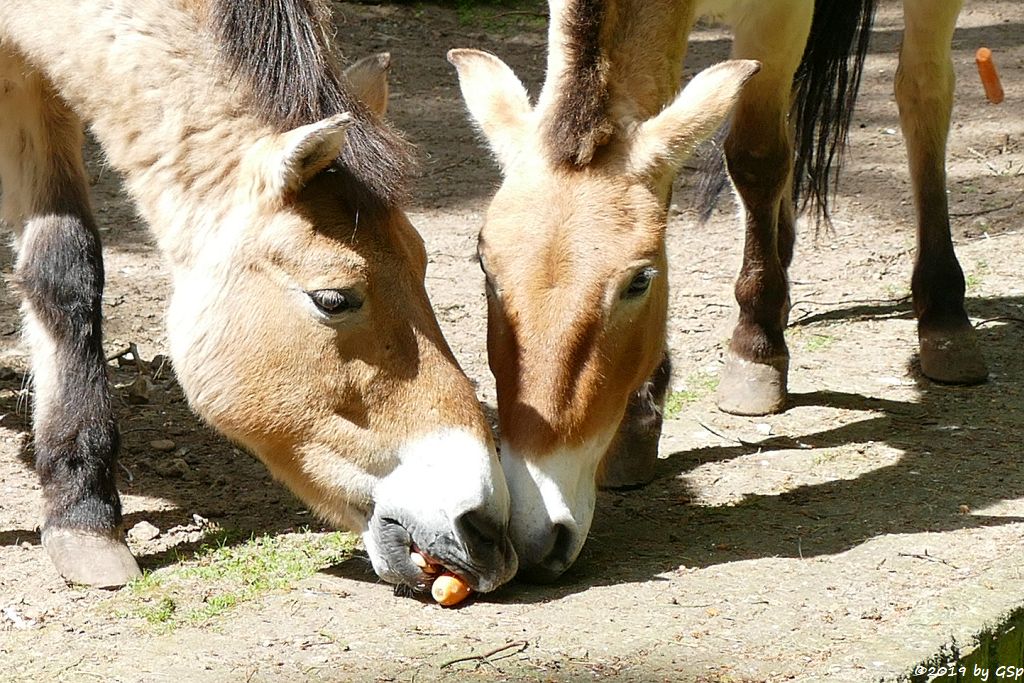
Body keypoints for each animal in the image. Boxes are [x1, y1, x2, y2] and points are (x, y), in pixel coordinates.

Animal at [0, 0, 512, 593]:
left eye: (424, 261)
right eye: (333, 299)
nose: (485, 528)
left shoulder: (35, 77)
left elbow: (65, 268)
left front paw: (81, 514)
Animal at [450, 0, 983, 581]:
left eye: (640, 280)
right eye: (485, 266)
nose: (535, 532)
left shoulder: (778, 19)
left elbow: (756, 156)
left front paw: (756, 346)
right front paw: (638, 421)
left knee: (922, 89)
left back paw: (943, 316)